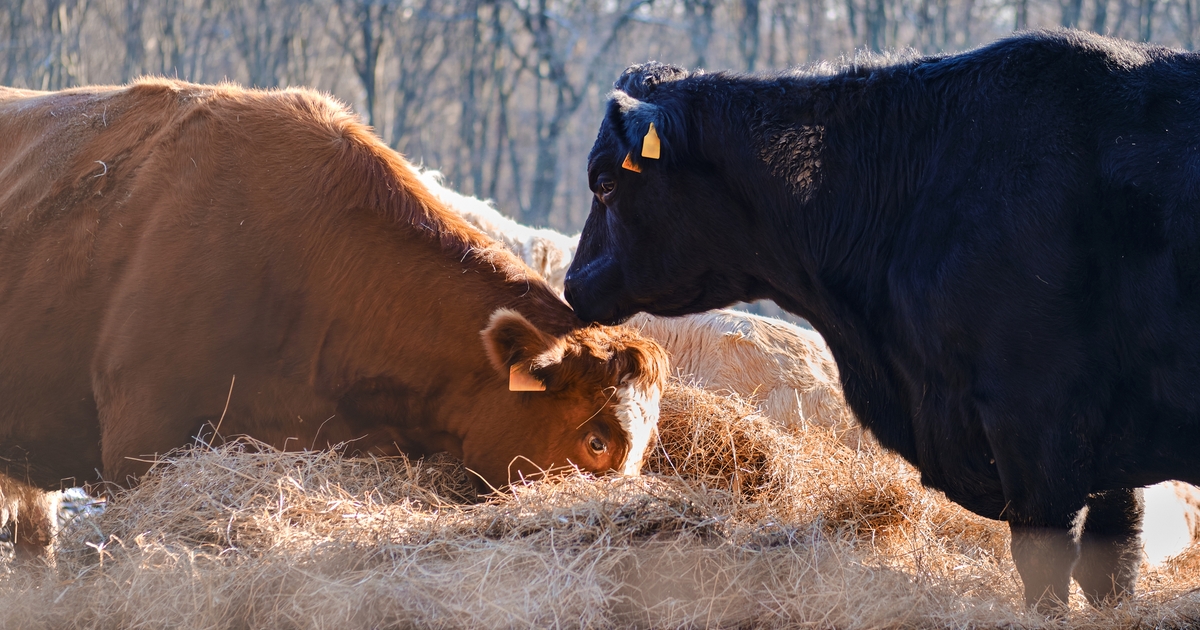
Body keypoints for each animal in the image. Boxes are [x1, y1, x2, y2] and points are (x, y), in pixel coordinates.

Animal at [561, 28, 1200, 609]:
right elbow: (1113, 560)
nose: (572, 284)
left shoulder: (1035, 415)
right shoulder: (1106, 446)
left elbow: (1047, 564)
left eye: (606, 183)